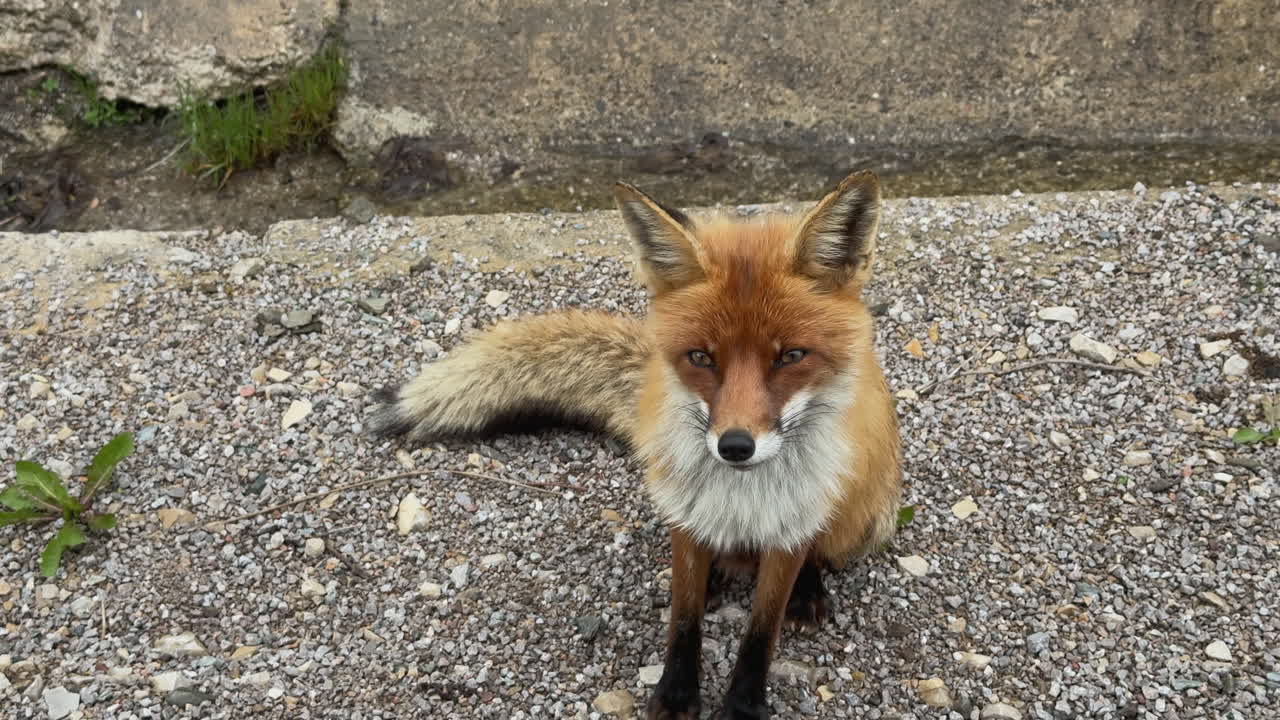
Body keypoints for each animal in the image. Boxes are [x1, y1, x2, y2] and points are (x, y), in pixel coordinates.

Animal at [370, 170, 902, 720]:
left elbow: (761, 631)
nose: (735, 446)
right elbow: (683, 618)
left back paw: (807, 590)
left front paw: (743, 705)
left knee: (820, 550)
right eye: (700, 358)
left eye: (791, 356)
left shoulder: (792, 527)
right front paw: (676, 694)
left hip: (863, 515)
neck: (742, 500)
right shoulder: (685, 518)